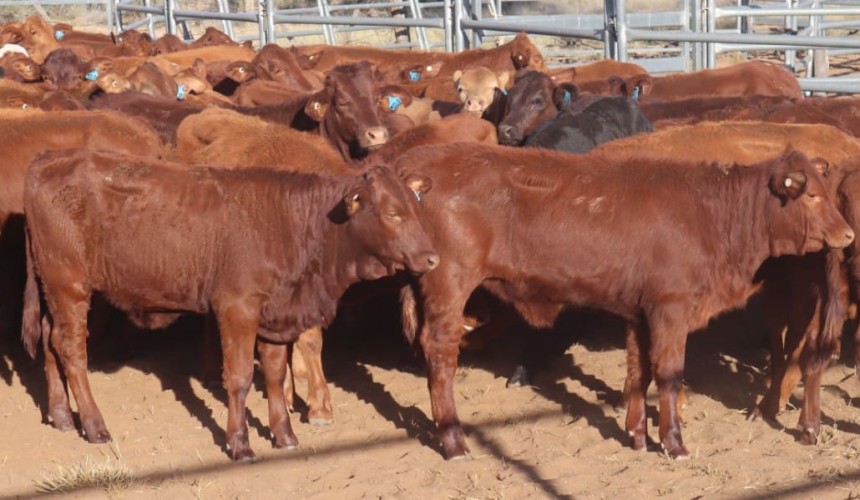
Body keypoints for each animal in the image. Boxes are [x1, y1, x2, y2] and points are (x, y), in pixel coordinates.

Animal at [22, 148, 439, 462]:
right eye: (392, 213)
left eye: (416, 209)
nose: (432, 257)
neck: (291, 224)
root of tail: (48, 159)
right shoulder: (237, 309)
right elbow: (239, 378)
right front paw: (240, 444)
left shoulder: (276, 314)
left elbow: (274, 375)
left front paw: (284, 435)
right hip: (69, 286)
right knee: (71, 349)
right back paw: (95, 425)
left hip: (51, 290)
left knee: (50, 341)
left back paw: (62, 417)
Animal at [392, 142, 853, 460]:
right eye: (811, 196)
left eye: (827, 192)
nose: (848, 234)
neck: (711, 214)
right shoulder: (670, 309)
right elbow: (668, 375)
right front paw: (673, 442)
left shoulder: (639, 312)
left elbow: (638, 371)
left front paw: (637, 435)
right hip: (448, 285)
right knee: (441, 358)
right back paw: (453, 441)